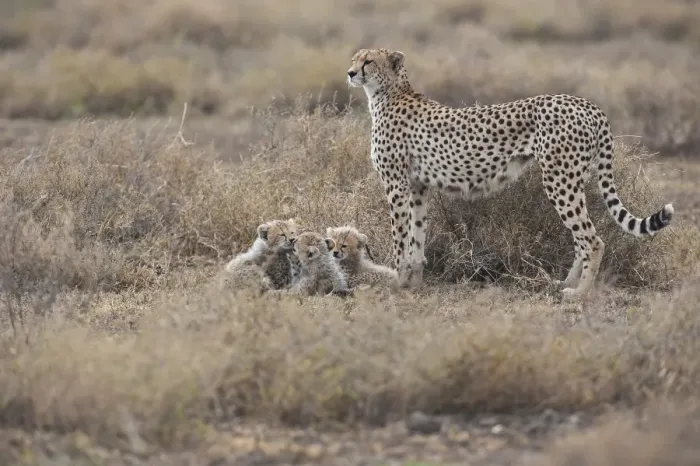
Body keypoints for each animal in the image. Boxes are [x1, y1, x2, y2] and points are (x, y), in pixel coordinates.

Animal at [346, 47, 675, 297]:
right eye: (354, 58)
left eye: (368, 61)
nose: (350, 73)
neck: (387, 93)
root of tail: (586, 103)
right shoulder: (416, 187)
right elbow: (416, 236)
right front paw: (411, 281)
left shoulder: (396, 186)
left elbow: (400, 237)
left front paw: (396, 279)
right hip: (572, 180)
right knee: (581, 238)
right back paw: (563, 283)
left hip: (560, 180)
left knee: (592, 240)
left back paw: (579, 292)